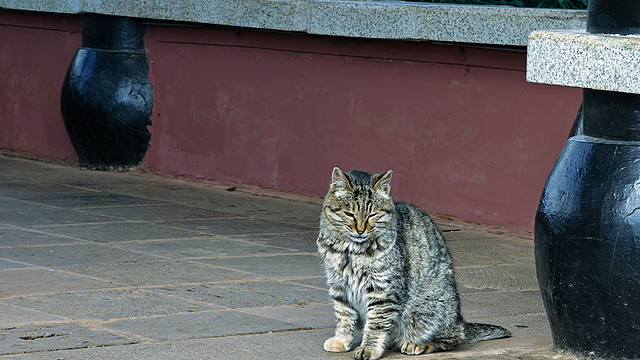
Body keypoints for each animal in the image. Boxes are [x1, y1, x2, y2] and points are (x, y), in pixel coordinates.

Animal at [316, 167, 510, 358]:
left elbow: (376, 324)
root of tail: (460, 320)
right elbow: (343, 316)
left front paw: (369, 348)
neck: (350, 251)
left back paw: (419, 344)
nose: (360, 230)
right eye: (349, 214)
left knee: (452, 339)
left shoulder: (383, 291)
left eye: (372, 215)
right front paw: (341, 340)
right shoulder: (339, 286)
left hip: (430, 311)